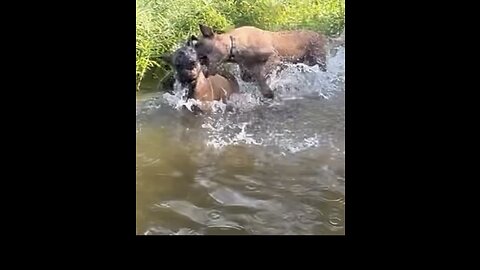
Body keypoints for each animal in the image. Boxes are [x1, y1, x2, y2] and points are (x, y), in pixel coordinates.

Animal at [189, 24, 344, 98]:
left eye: (198, 45)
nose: (187, 49)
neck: (233, 44)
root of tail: (322, 36)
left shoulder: (273, 56)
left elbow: (263, 74)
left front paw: (267, 89)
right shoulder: (246, 68)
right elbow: (249, 76)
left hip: (318, 60)